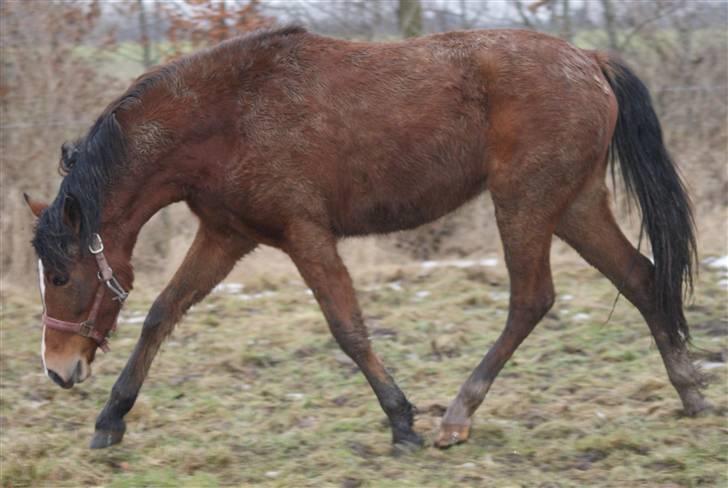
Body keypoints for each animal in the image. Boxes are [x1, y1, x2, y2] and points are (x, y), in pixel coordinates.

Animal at [27, 26, 712, 450]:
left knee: (531, 299)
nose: (59, 371)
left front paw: (402, 420)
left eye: (61, 276)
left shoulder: (305, 235)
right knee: (642, 277)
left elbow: (348, 329)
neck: (227, 117)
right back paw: (690, 393)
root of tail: (589, 59)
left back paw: (457, 416)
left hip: (526, 203)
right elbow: (161, 315)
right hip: (573, 205)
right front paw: (111, 419)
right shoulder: (225, 236)